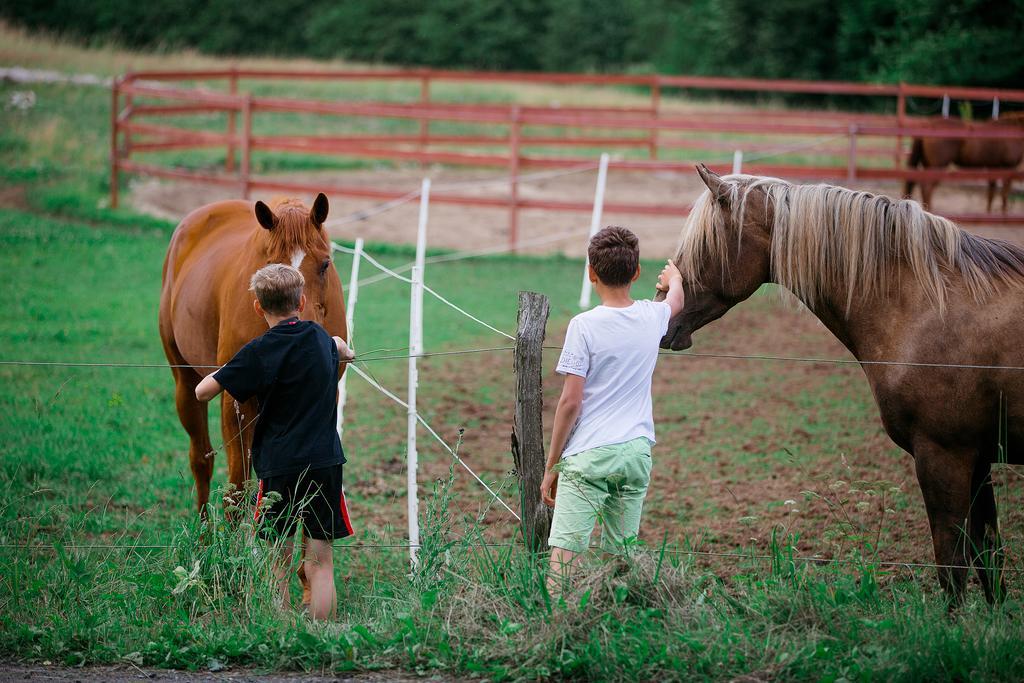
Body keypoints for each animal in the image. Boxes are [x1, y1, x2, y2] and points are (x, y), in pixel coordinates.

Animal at [157, 192, 346, 511]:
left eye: (324, 264)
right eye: (270, 267)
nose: (301, 324)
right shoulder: (237, 400)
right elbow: (236, 488)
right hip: (186, 382)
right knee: (201, 460)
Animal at [663, 165, 1024, 602]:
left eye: (701, 244)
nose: (662, 307)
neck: (927, 306)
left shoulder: (945, 456)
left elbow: (952, 566)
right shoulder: (980, 458)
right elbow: (990, 560)